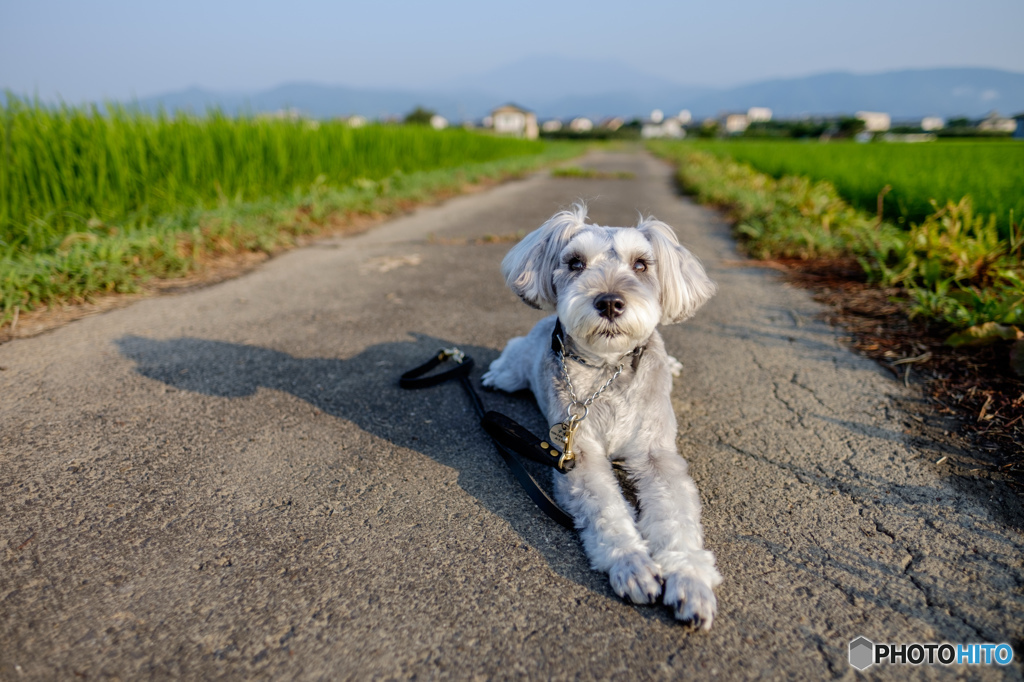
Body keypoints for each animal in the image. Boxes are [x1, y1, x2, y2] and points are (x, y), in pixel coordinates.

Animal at [483, 201, 724, 626]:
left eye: (642, 264)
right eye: (576, 262)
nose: (610, 302)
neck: (607, 370)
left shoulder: (657, 455)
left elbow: (676, 516)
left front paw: (690, 578)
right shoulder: (580, 456)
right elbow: (607, 510)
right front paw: (633, 565)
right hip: (519, 361)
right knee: (511, 358)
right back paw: (496, 374)